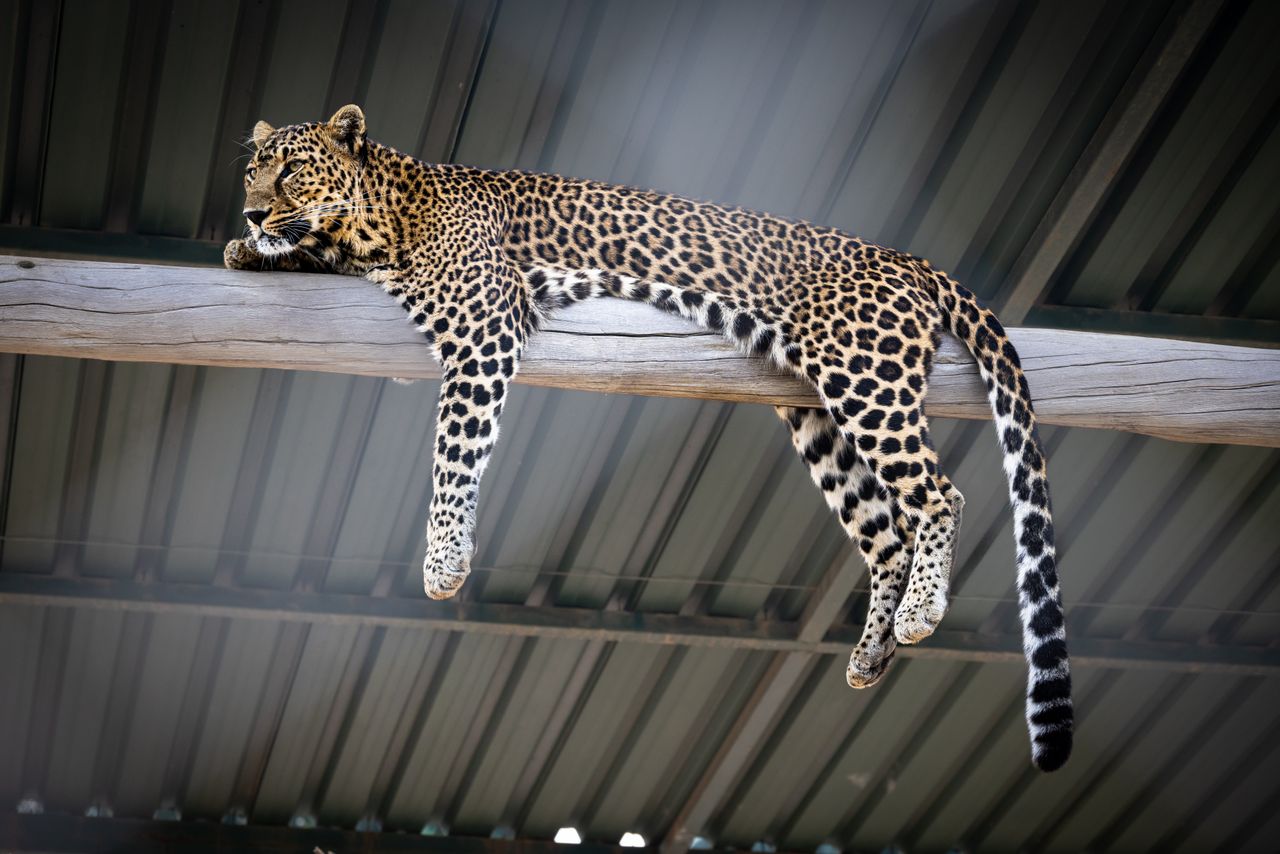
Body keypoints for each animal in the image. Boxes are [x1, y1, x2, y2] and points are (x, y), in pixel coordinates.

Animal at [224, 105, 1072, 772]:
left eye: (292, 172)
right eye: (251, 176)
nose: (252, 215)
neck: (383, 217)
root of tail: (909, 256)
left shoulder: (483, 329)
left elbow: (454, 456)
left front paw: (442, 563)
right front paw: (249, 251)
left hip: (866, 375)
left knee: (940, 496)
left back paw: (921, 612)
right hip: (816, 414)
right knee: (885, 531)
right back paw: (872, 651)